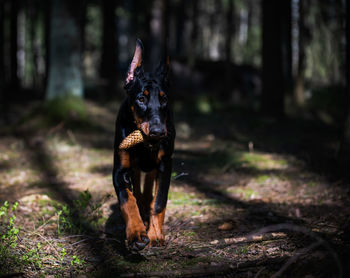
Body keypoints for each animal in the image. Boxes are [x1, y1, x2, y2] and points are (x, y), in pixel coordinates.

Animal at [113, 38, 175, 250]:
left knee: (149, 187)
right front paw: (136, 233)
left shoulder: (165, 165)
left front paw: (155, 234)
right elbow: (128, 200)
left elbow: (159, 201)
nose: (158, 132)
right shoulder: (120, 170)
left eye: (164, 99)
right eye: (141, 98)